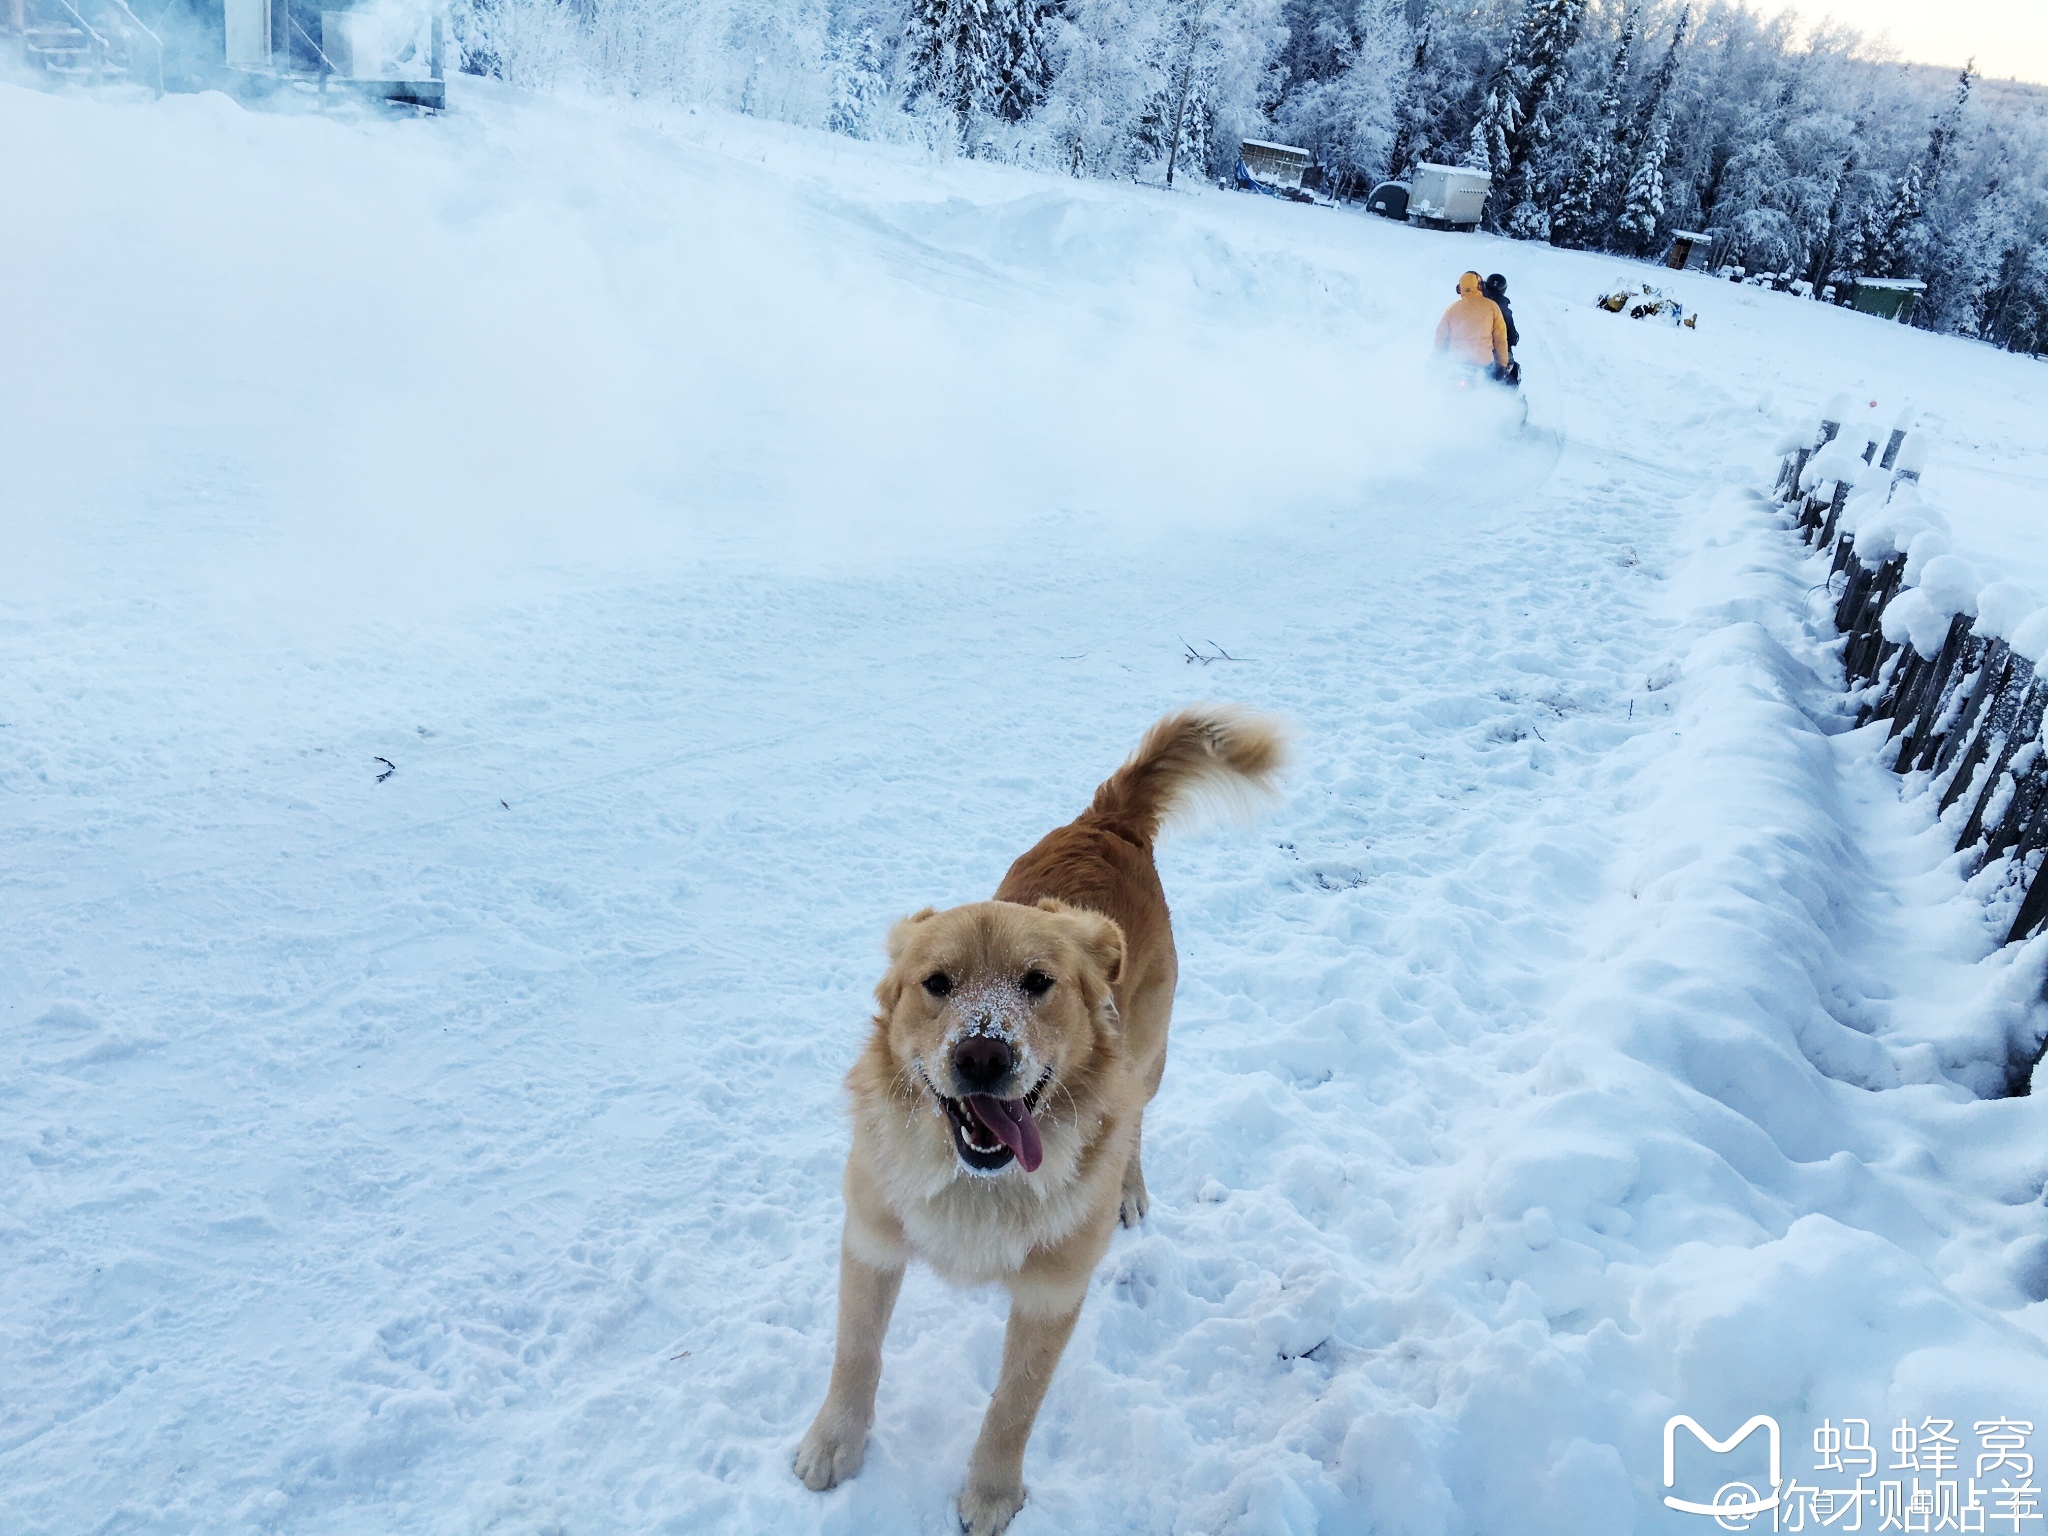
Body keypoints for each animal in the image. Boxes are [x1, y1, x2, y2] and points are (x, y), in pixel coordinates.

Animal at [794, 708, 1286, 1536]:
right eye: (936, 983)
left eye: (1037, 982)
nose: (983, 1055)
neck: (975, 1182)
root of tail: (1106, 820)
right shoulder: (871, 1240)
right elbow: (856, 1355)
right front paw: (834, 1443)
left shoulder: (1052, 1293)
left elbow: (1012, 1406)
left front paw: (991, 1494)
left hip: (1150, 1054)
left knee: (1135, 1120)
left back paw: (1129, 1190)